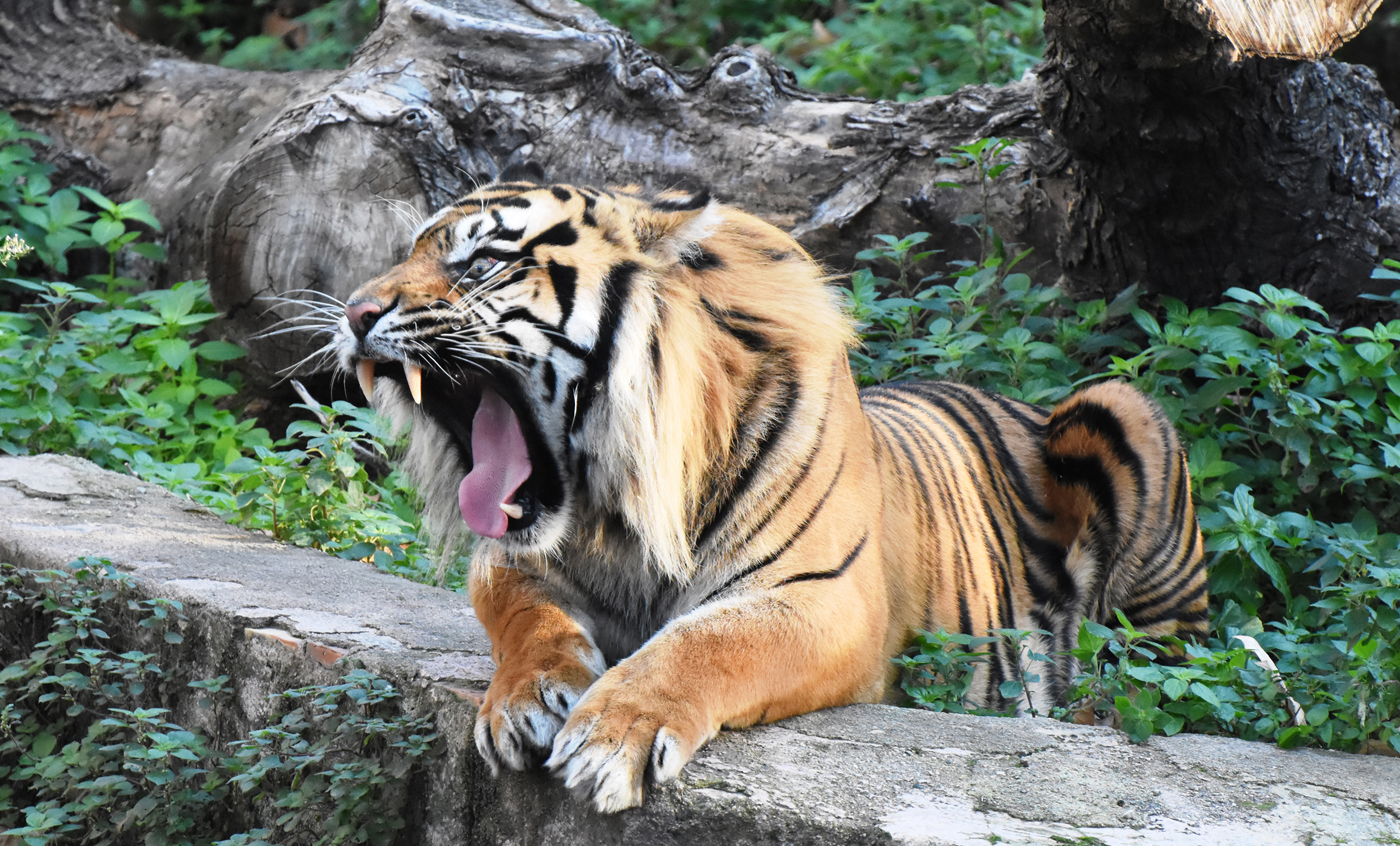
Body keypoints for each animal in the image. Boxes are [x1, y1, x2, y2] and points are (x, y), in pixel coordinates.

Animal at [324, 173, 1204, 812]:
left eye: (479, 264)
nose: (355, 312)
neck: (619, 511)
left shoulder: (825, 596)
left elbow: (708, 642)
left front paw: (612, 736)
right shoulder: (512, 561)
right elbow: (526, 619)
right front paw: (523, 702)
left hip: (1119, 414)